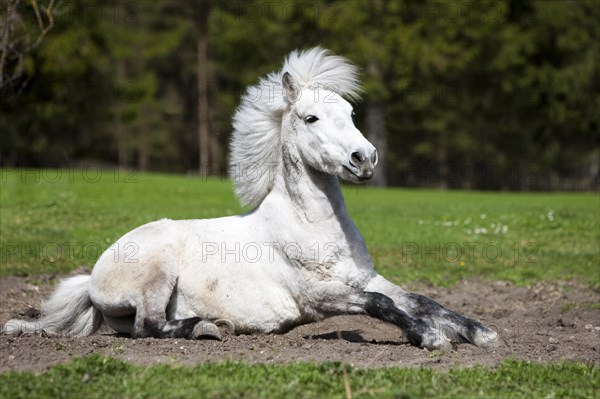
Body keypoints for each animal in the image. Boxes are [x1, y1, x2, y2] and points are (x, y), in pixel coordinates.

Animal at [3, 49, 496, 350]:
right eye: (311, 117)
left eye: (351, 113)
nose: (365, 158)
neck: (311, 227)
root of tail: (92, 278)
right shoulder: (320, 297)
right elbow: (384, 306)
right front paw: (430, 338)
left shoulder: (365, 278)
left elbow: (420, 299)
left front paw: (480, 332)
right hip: (158, 274)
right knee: (149, 326)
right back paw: (208, 327)